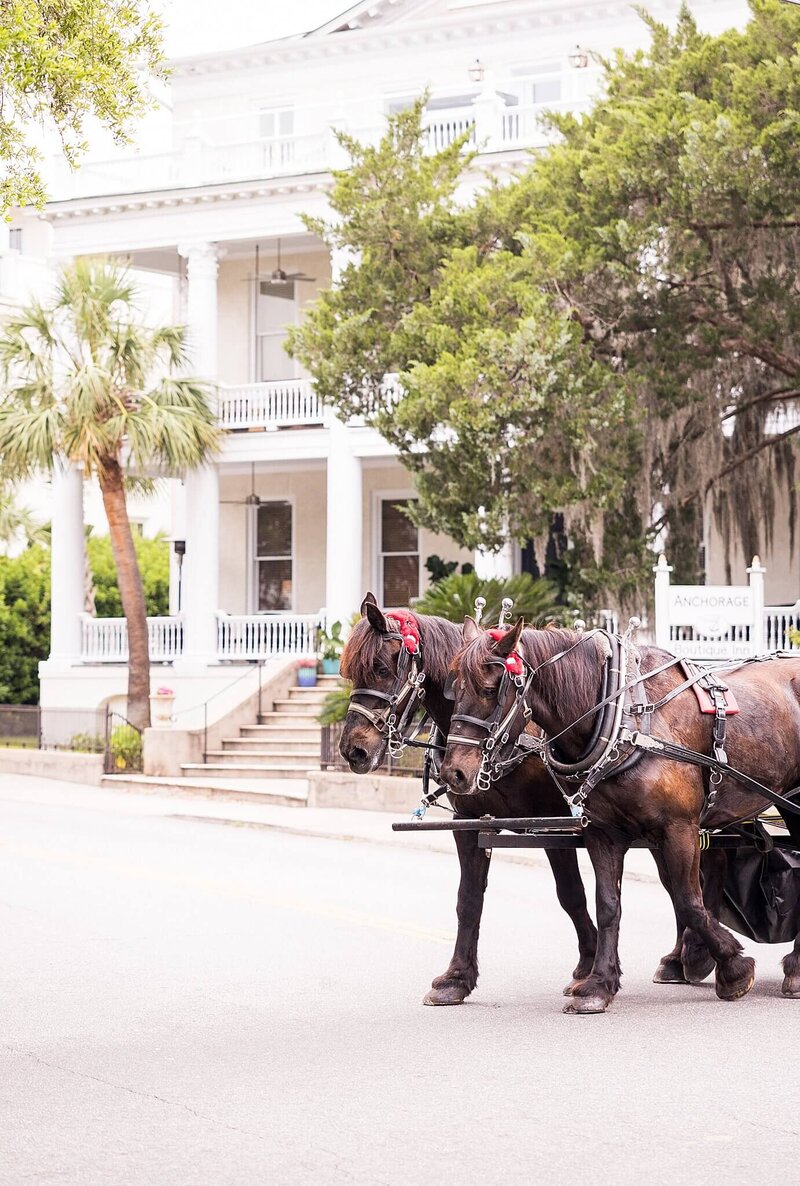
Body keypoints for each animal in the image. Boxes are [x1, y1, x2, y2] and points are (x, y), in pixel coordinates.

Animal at [341, 593, 597, 1000]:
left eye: (380, 669)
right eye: (350, 673)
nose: (353, 750)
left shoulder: (551, 822)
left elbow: (571, 893)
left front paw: (588, 965)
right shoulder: (468, 823)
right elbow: (468, 899)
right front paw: (457, 977)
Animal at [440, 616, 800, 1015]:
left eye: (490, 689)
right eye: (452, 689)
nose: (454, 773)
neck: (626, 719)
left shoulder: (679, 828)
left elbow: (689, 902)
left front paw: (734, 968)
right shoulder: (604, 832)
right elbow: (607, 904)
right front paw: (599, 983)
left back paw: (791, 968)